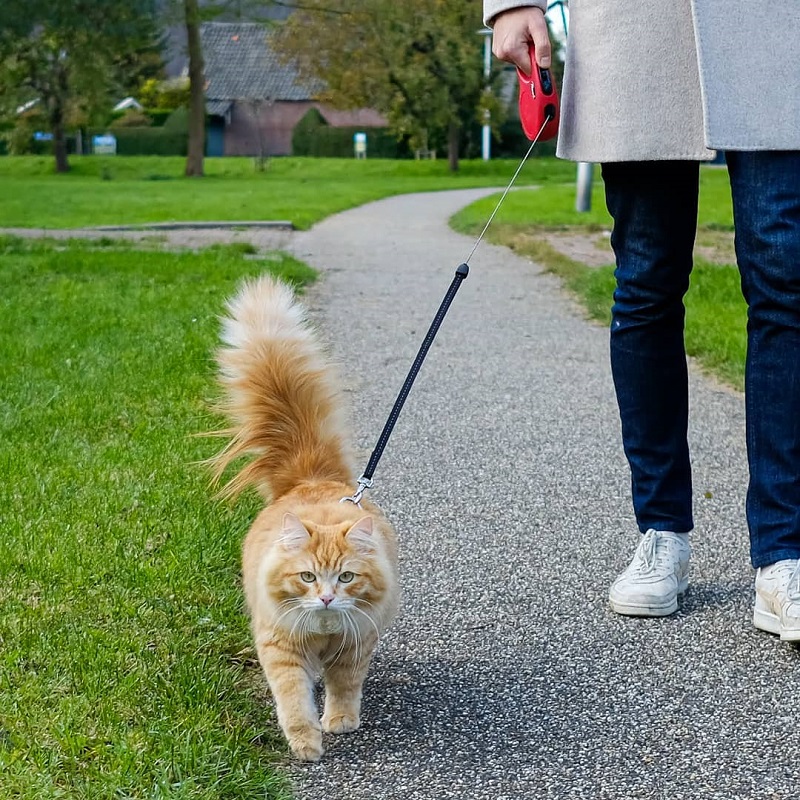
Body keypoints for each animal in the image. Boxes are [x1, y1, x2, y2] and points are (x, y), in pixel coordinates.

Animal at [209, 276, 396, 764]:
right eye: (308, 576)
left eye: (346, 577)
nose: (327, 599)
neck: (324, 630)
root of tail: (311, 477)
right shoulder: (281, 646)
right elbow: (293, 699)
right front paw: (306, 743)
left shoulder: (355, 645)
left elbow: (345, 687)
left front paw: (340, 721)